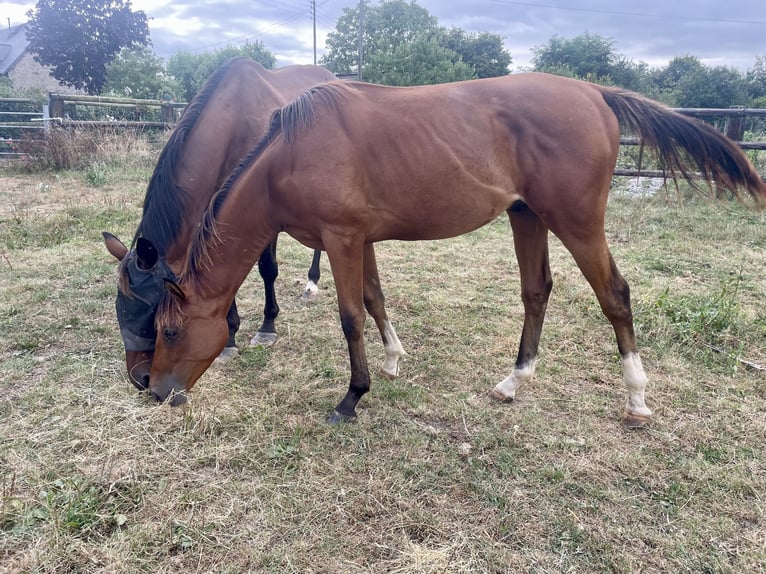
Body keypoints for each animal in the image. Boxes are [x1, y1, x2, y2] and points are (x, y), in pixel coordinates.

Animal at [101, 58, 332, 392]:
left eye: (152, 310)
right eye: (121, 310)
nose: (140, 378)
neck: (232, 121)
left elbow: (268, 270)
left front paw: (267, 326)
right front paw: (230, 339)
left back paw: (312, 284)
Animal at [146, 73, 766, 428]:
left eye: (170, 331)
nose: (153, 392)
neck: (291, 152)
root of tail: (595, 92)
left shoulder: (342, 239)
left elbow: (350, 316)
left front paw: (352, 397)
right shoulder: (359, 240)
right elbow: (374, 299)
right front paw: (393, 361)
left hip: (577, 221)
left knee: (614, 294)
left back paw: (636, 400)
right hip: (527, 216)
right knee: (537, 291)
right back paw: (513, 382)